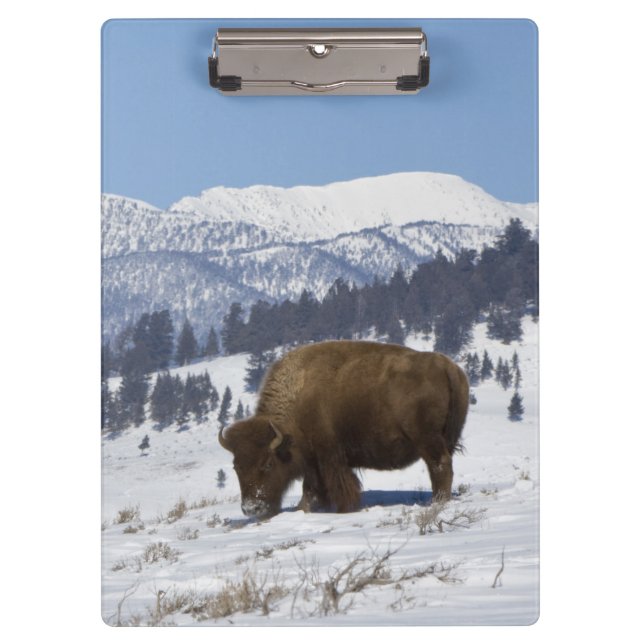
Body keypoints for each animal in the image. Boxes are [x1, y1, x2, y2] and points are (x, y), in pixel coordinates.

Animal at [218, 340, 469, 519]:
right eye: (236, 467)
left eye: (268, 464)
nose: (252, 509)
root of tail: (447, 367)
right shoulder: (314, 460)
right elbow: (311, 487)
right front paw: (305, 508)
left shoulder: (328, 456)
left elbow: (330, 484)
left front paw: (341, 509)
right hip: (445, 439)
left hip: (427, 440)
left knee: (439, 466)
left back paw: (437, 501)